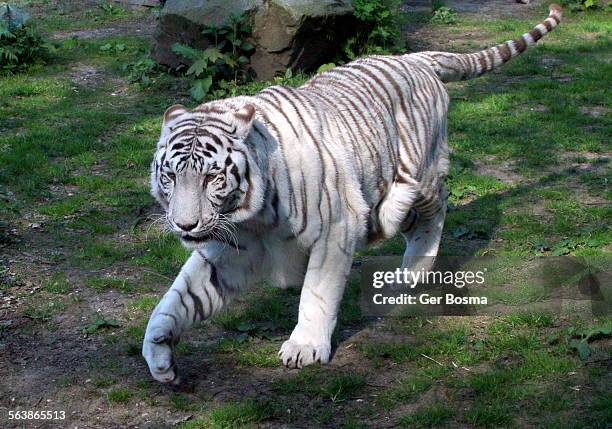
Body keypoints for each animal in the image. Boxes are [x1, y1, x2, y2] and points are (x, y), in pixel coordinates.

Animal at [141, 5, 560, 382]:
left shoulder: (335, 229)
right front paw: (159, 353)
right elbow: (179, 297)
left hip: (416, 180)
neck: (251, 217)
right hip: (384, 207)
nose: (185, 224)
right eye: (172, 176)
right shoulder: (230, 248)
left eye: (212, 177)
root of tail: (414, 58)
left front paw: (305, 347)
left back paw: (413, 272)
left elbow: (317, 293)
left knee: (438, 205)